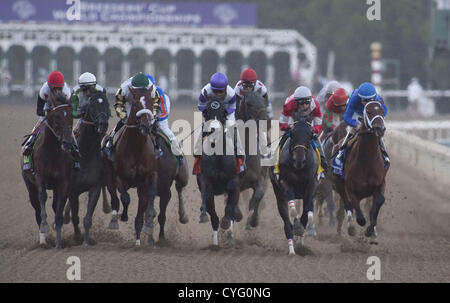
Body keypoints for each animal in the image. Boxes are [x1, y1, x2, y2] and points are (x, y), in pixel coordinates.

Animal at [21, 91, 74, 248]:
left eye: (71, 115)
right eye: (57, 116)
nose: (67, 143)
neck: (52, 152)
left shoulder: (63, 182)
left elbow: (59, 207)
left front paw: (59, 242)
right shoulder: (40, 177)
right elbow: (42, 197)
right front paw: (45, 227)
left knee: (55, 205)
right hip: (30, 186)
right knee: (37, 208)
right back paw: (43, 241)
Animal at [102, 86, 157, 247]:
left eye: (151, 102)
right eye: (136, 104)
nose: (146, 126)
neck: (136, 148)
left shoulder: (145, 181)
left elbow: (140, 212)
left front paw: (138, 240)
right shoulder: (119, 177)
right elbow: (125, 198)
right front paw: (123, 216)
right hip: (108, 175)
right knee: (115, 199)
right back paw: (114, 219)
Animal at [330, 102, 390, 245]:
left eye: (382, 111)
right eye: (368, 112)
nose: (380, 129)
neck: (367, 161)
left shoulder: (380, 184)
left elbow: (378, 202)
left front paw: (371, 231)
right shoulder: (350, 189)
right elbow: (357, 212)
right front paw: (356, 227)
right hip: (339, 185)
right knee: (347, 205)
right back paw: (350, 227)